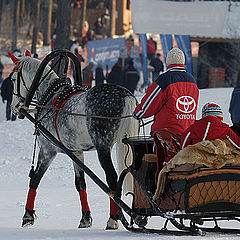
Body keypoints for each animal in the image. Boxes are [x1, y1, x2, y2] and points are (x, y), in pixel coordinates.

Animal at [8, 51, 139, 230]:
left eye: (13, 79)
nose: (14, 107)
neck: (52, 97)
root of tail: (125, 95)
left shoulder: (47, 150)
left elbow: (35, 179)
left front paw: (28, 216)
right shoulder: (76, 152)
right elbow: (80, 183)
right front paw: (85, 218)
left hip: (102, 146)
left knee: (111, 178)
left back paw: (113, 219)